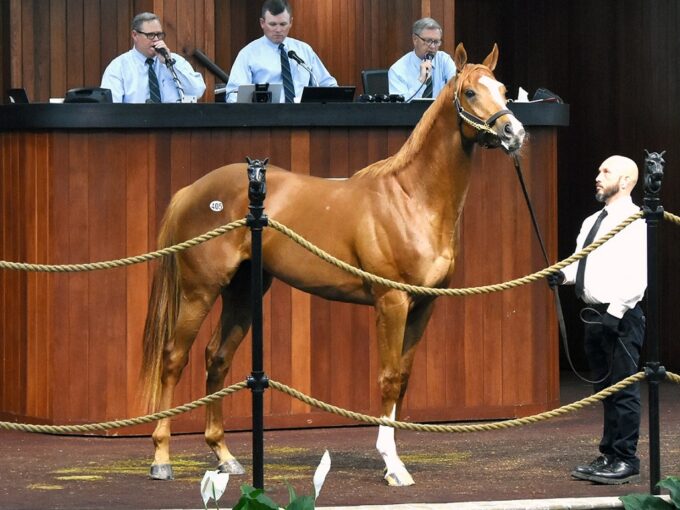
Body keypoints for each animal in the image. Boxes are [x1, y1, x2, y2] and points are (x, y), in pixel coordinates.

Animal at [141, 43, 524, 486]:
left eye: (503, 90)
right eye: (470, 93)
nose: (515, 133)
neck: (412, 199)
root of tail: (192, 190)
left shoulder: (424, 305)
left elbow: (404, 378)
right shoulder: (391, 302)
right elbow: (389, 379)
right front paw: (393, 465)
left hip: (242, 292)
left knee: (216, 358)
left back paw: (224, 456)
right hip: (199, 291)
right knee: (174, 358)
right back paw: (161, 458)